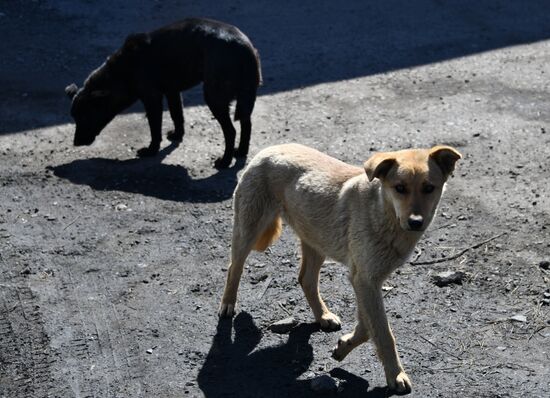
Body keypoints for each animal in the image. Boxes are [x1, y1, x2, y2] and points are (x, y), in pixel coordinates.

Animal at [66, 18, 262, 168]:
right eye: (74, 118)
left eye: (85, 117)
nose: (75, 143)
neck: (123, 70)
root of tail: (244, 47)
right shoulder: (172, 91)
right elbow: (177, 115)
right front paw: (177, 135)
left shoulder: (152, 98)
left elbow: (154, 128)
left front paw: (151, 150)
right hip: (244, 97)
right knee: (247, 123)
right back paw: (241, 151)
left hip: (215, 98)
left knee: (231, 131)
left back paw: (225, 161)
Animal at [220, 142, 462, 392]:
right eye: (400, 188)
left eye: (429, 188)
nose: (415, 222)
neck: (383, 212)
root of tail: (272, 148)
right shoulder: (364, 280)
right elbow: (383, 332)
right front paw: (395, 374)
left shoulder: (365, 281)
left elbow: (367, 327)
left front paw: (343, 347)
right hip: (249, 230)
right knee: (234, 267)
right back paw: (228, 304)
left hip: (316, 241)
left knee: (306, 279)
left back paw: (323, 316)